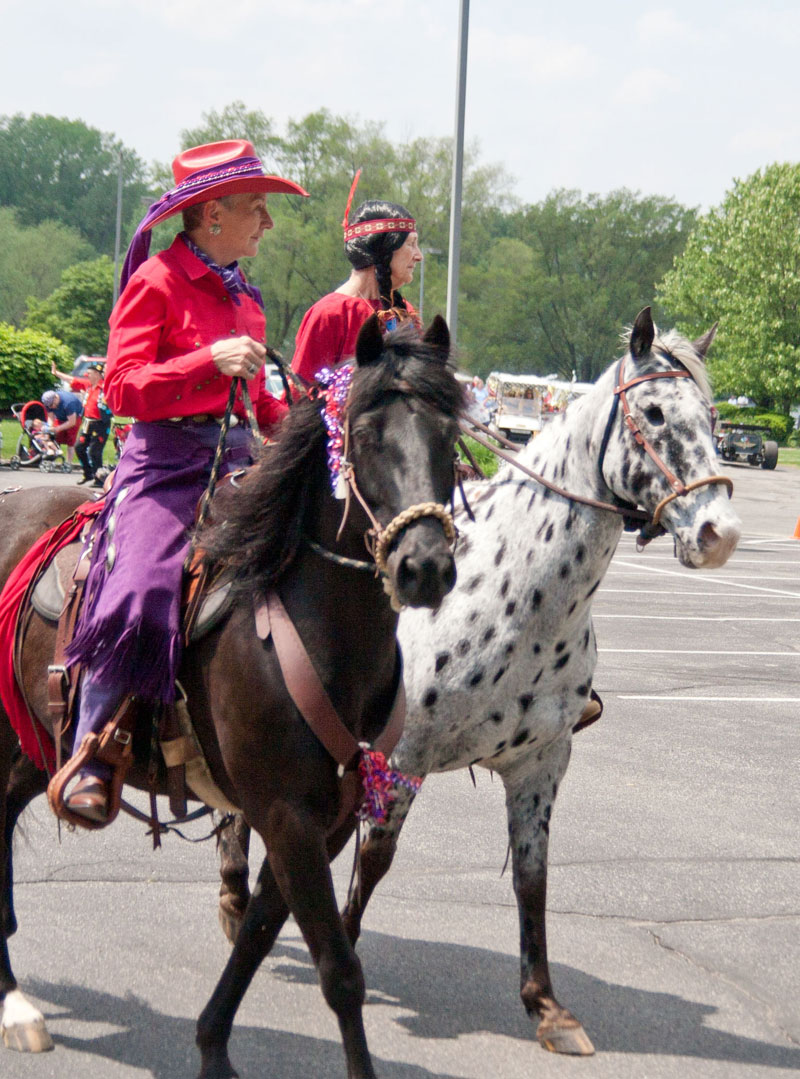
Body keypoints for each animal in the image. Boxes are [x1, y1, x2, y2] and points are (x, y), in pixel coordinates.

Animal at [0, 315, 462, 1079]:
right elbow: (339, 970)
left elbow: (257, 934)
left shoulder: (322, 819)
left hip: (35, 748)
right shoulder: (285, 813)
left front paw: (213, 1045)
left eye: (451, 436)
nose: (424, 566)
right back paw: (15, 1005)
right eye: (365, 434)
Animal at [214, 302, 738, 1053]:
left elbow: (532, 876)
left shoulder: (542, 762)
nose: (720, 532)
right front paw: (343, 943)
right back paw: (233, 895)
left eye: (714, 416)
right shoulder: (398, 760)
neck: (522, 597)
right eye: (656, 412)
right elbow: (377, 858)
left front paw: (546, 1005)